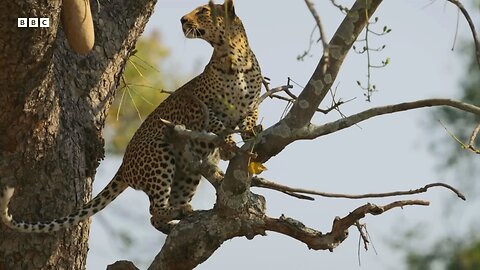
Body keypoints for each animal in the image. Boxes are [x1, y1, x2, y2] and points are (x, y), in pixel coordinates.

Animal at [0, 0, 262, 234]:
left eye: (203, 11)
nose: (182, 20)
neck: (231, 56)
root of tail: (124, 167)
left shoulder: (252, 103)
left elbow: (250, 116)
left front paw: (250, 132)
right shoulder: (195, 106)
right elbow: (217, 122)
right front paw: (227, 143)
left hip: (187, 174)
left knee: (157, 215)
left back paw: (176, 218)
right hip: (159, 155)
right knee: (154, 209)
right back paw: (177, 212)